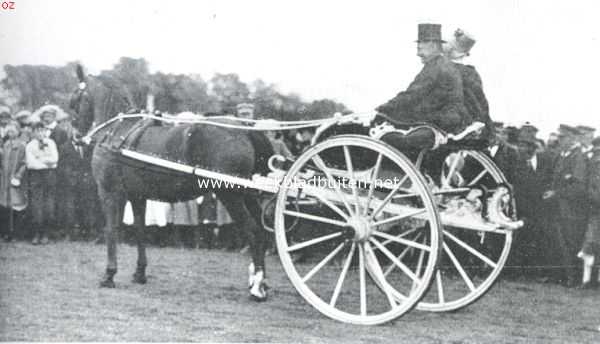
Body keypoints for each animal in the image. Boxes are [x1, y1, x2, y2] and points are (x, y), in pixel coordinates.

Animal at [71, 88, 274, 298]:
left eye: (75, 101)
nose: (76, 138)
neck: (116, 132)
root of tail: (244, 129)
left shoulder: (109, 192)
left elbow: (111, 230)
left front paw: (109, 275)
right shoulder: (137, 196)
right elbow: (140, 230)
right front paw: (139, 273)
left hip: (230, 195)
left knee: (253, 231)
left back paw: (257, 287)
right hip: (247, 194)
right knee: (263, 229)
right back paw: (262, 282)